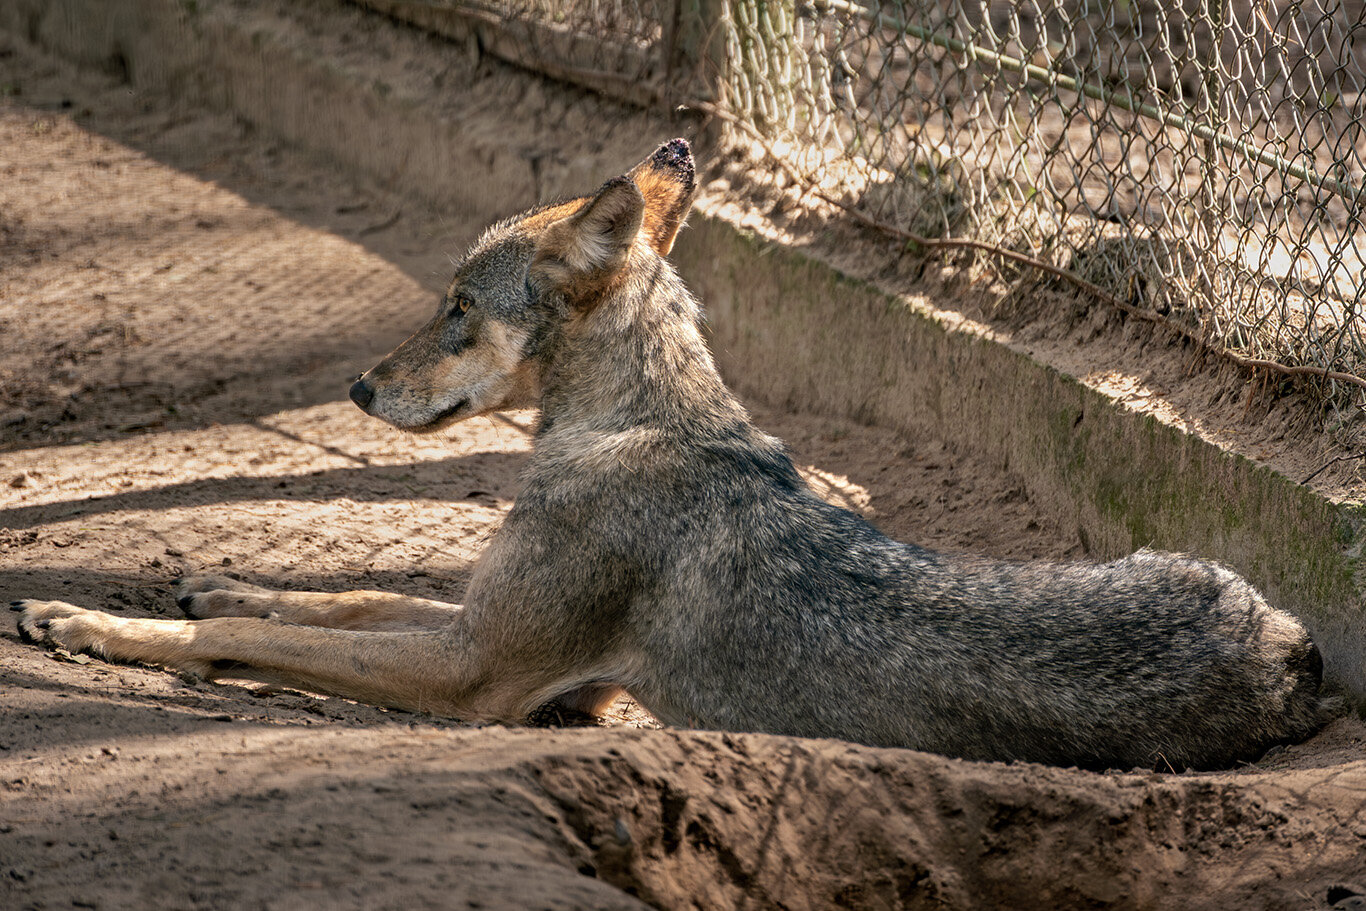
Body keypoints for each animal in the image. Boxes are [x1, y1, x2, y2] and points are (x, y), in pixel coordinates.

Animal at [12, 139, 1330, 769]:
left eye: (455, 309)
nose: (357, 387)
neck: (631, 422)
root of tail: (1296, 651)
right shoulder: (478, 625)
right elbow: (329, 597)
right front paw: (201, 579)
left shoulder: (481, 677)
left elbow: (251, 639)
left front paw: (90, 625)